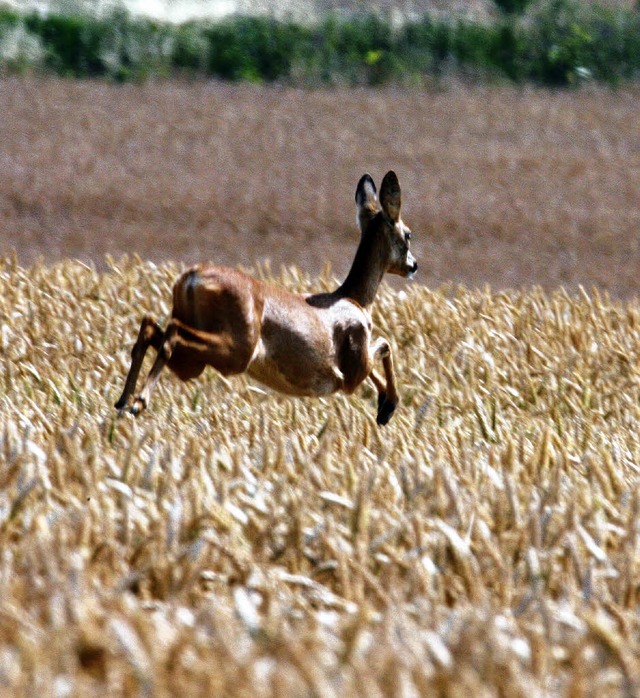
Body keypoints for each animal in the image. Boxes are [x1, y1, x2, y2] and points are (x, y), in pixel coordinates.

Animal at [114, 173, 416, 424]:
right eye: (408, 234)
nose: (414, 265)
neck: (355, 299)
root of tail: (192, 278)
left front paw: (384, 407)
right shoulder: (352, 370)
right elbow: (385, 345)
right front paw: (388, 407)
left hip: (196, 361)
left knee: (151, 328)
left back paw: (122, 403)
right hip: (237, 350)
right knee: (171, 333)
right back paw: (137, 403)